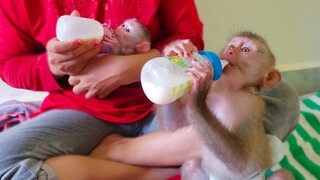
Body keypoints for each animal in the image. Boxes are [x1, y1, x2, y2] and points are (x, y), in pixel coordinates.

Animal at [156, 31, 282, 179]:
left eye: (245, 50)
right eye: (232, 46)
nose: (230, 52)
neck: (229, 90)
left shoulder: (254, 107)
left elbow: (239, 160)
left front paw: (198, 95)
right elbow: (173, 123)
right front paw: (175, 48)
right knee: (191, 165)